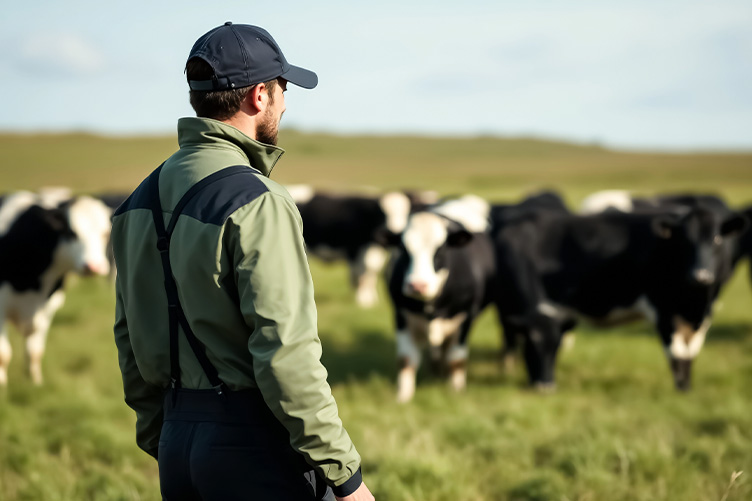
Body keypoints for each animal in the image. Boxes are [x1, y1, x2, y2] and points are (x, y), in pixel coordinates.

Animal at [0, 191, 113, 386]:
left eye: (105, 233)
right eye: (72, 233)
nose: (93, 266)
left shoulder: (47, 308)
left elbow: (35, 351)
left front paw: (36, 383)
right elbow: (3, 353)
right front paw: (3, 385)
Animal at [289, 186, 435, 308]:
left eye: (406, 212)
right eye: (382, 213)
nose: (393, 230)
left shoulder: (375, 250)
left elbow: (372, 271)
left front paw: (371, 299)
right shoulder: (354, 249)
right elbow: (360, 274)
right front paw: (362, 300)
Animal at [385, 195, 496, 402]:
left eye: (441, 249)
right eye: (403, 249)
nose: (418, 285)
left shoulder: (466, 317)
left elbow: (456, 359)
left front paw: (456, 391)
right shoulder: (400, 315)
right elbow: (406, 359)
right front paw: (403, 397)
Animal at [492, 203, 748, 391]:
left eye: (716, 239)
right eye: (684, 241)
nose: (701, 275)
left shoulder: (703, 313)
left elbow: (689, 353)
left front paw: (685, 389)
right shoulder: (663, 312)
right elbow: (676, 353)